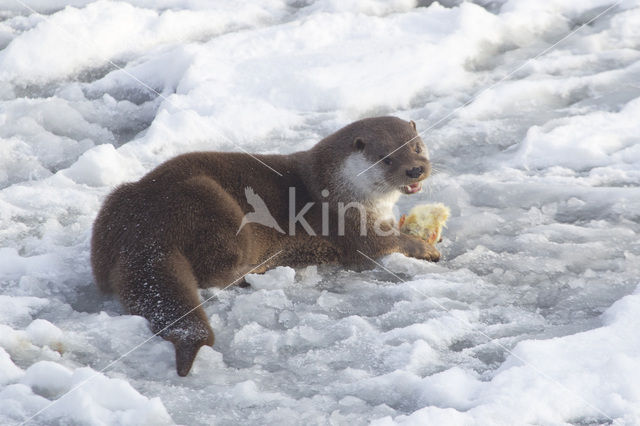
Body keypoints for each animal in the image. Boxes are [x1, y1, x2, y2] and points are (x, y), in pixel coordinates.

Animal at [91, 116, 440, 376]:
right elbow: (382, 245)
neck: (342, 189)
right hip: (214, 208)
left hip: (113, 207)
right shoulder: (350, 225)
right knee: (215, 272)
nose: (415, 169)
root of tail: (144, 229)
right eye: (387, 158)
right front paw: (427, 248)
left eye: (417, 146)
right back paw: (258, 271)